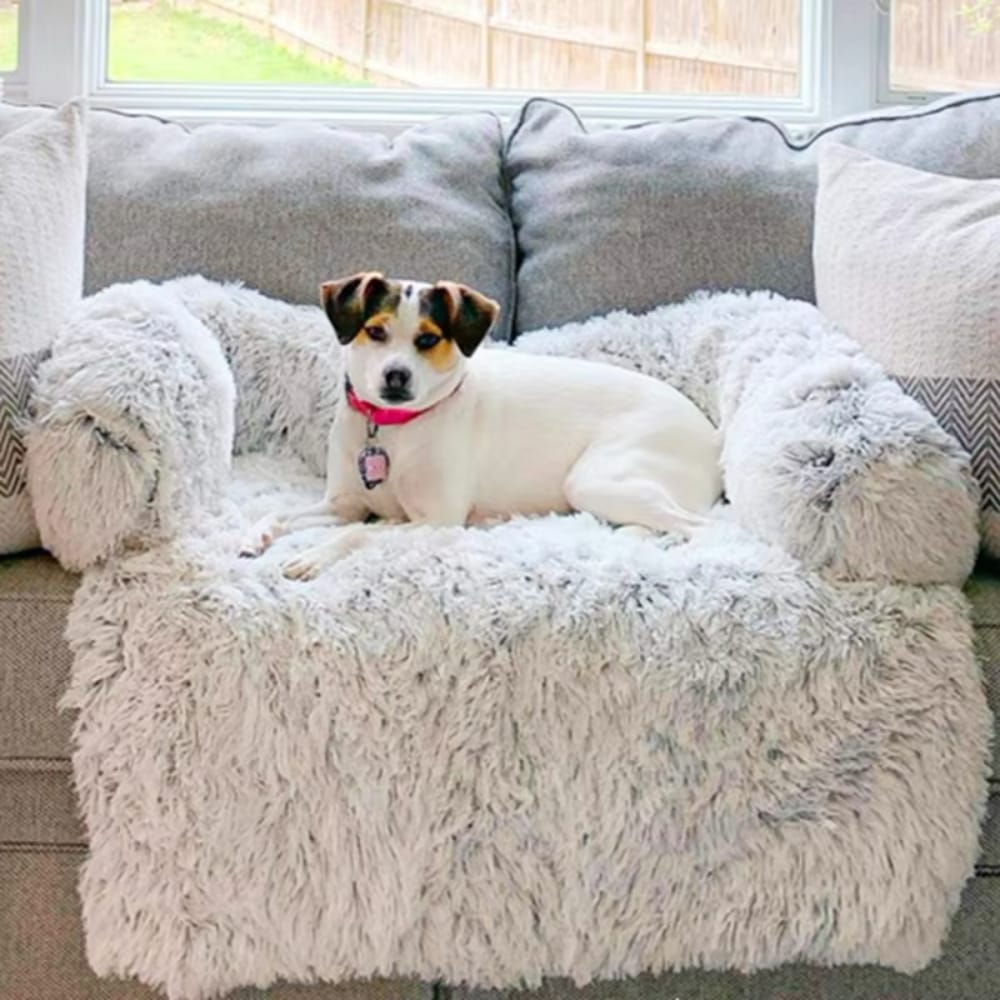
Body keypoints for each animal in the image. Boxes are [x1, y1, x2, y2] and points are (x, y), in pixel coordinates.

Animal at [242, 274, 728, 584]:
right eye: (375, 332)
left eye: (428, 339)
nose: (396, 376)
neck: (394, 429)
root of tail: (711, 438)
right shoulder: (344, 503)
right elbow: (282, 514)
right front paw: (252, 534)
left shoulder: (438, 520)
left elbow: (358, 533)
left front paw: (315, 555)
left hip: (595, 480)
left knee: (701, 528)